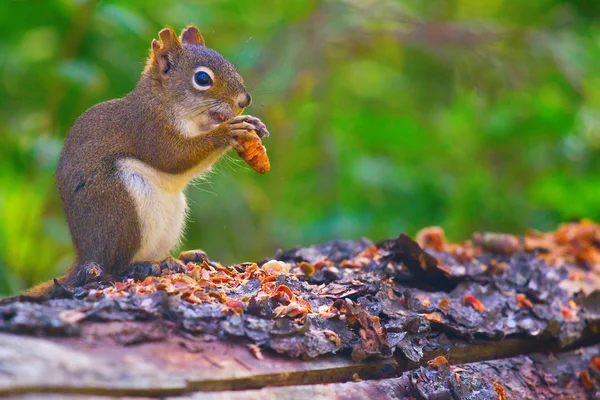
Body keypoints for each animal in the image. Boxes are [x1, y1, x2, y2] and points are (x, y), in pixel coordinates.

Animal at [25, 25, 270, 298]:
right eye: (202, 79)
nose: (244, 100)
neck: (168, 103)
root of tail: (86, 256)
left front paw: (255, 124)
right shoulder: (147, 127)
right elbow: (173, 156)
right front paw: (227, 132)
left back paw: (181, 258)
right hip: (121, 205)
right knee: (115, 265)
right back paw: (148, 265)